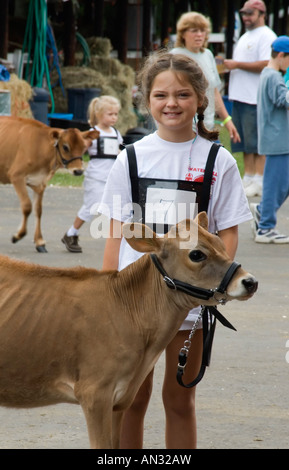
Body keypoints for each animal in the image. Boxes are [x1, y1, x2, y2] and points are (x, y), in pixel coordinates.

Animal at [0, 115, 99, 252]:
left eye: (84, 147)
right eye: (65, 147)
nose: (78, 171)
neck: (41, 147)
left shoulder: (40, 183)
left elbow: (38, 210)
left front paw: (39, 242)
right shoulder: (16, 176)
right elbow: (27, 206)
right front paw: (18, 236)